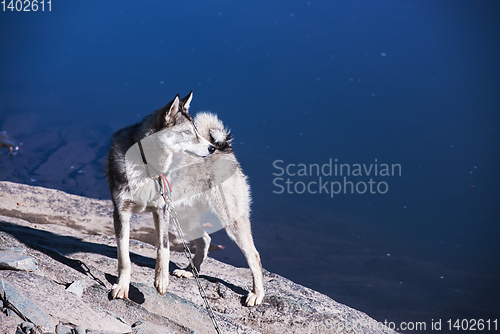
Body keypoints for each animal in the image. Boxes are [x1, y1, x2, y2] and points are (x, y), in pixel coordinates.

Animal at [106, 91, 266, 306]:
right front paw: (122, 286)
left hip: (230, 221)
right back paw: (191, 271)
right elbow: (124, 257)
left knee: (254, 256)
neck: (147, 166)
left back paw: (257, 294)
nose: (211, 148)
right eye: (187, 133)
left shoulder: (161, 211)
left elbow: (163, 249)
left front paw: (161, 280)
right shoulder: (121, 213)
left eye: (197, 131)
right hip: (183, 217)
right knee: (205, 240)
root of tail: (225, 148)